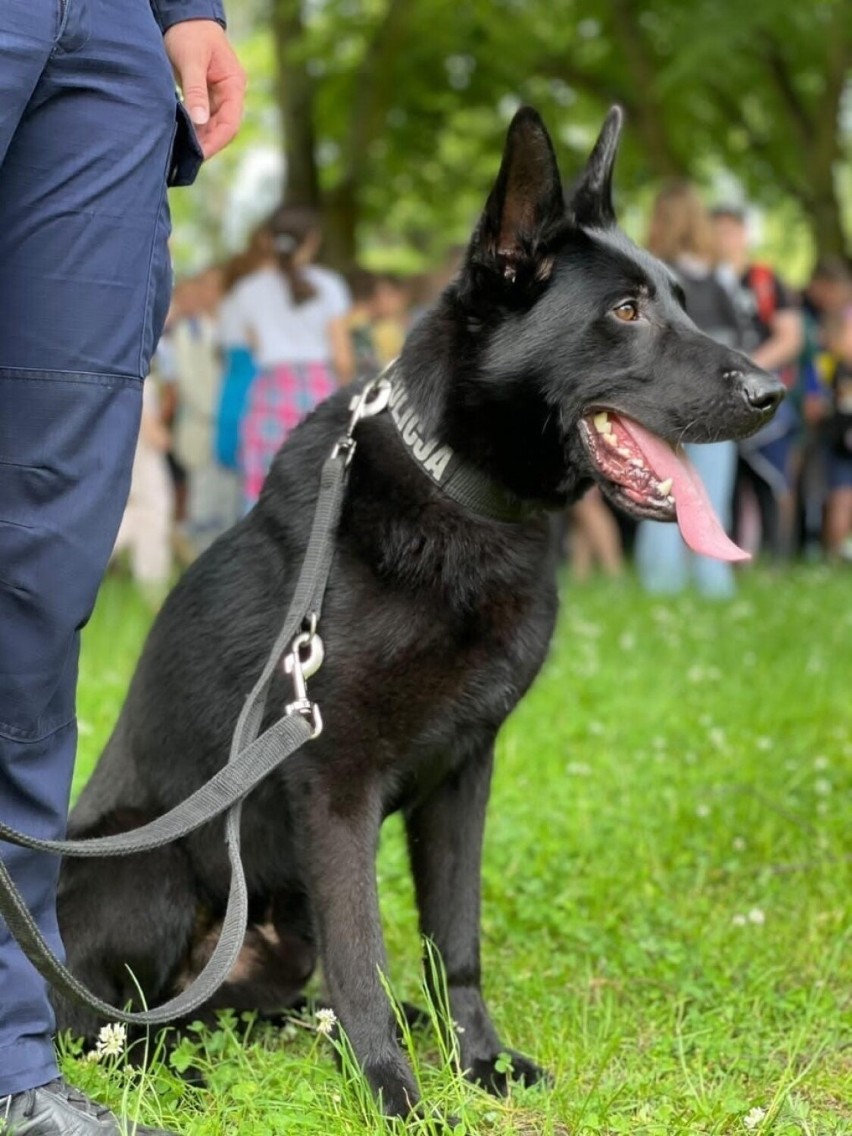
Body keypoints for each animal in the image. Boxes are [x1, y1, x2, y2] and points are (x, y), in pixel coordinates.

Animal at [56, 108, 786, 1117]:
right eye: (627, 312)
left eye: (681, 300)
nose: (773, 394)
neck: (462, 498)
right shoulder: (336, 787)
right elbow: (365, 947)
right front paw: (393, 1094)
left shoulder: (464, 776)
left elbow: (455, 941)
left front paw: (477, 1059)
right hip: (151, 871)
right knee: (111, 1030)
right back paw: (198, 1068)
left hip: (278, 945)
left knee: (243, 1011)